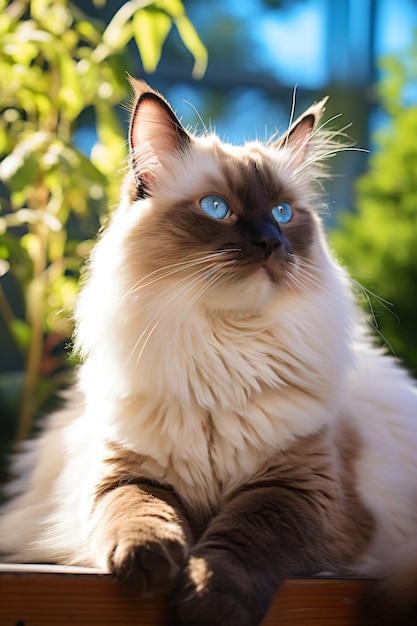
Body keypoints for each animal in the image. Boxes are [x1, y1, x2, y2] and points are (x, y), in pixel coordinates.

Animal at [0, 79, 416, 624]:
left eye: (282, 213)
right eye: (217, 208)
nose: (270, 242)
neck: (224, 350)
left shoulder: (295, 490)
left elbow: (243, 537)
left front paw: (206, 597)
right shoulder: (126, 475)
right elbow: (139, 513)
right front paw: (148, 565)